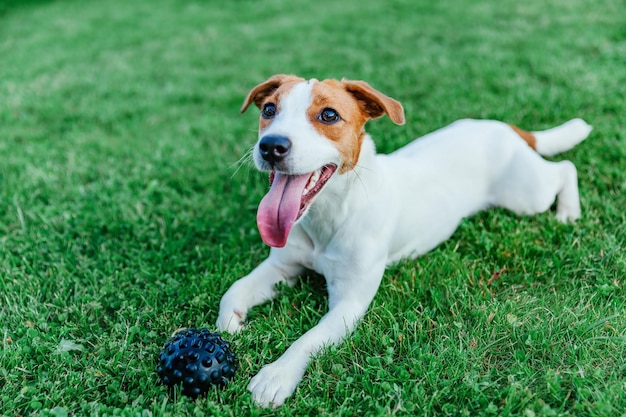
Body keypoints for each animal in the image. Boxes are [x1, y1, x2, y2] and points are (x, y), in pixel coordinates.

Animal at [214, 75, 588, 406]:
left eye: (329, 115)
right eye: (269, 109)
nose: (271, 146)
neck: (330, 214)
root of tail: (506, 128)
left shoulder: (349, 305)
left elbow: (308, 339)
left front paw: (276, 375)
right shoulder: (282, 266)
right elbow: (234, 290)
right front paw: (228, 325)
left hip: (527, 196)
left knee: (565, 168)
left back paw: (569, 211)